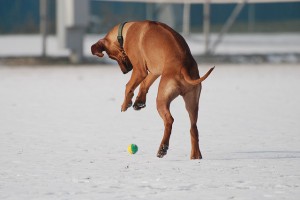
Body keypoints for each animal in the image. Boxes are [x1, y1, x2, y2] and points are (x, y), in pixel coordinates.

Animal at [91, 20, 213, 159]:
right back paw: (195, 155)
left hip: (161, 99)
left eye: (111, 56)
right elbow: (144, 83)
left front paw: (125, 104)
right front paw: (139, 101)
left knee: (169, 120)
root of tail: (183, 66)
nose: (125, 71)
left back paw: (163, 148)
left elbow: (129, 86)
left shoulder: (139, 70)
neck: (127, 29)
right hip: (192, 101)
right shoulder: (155, 70)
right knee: (193, 127)